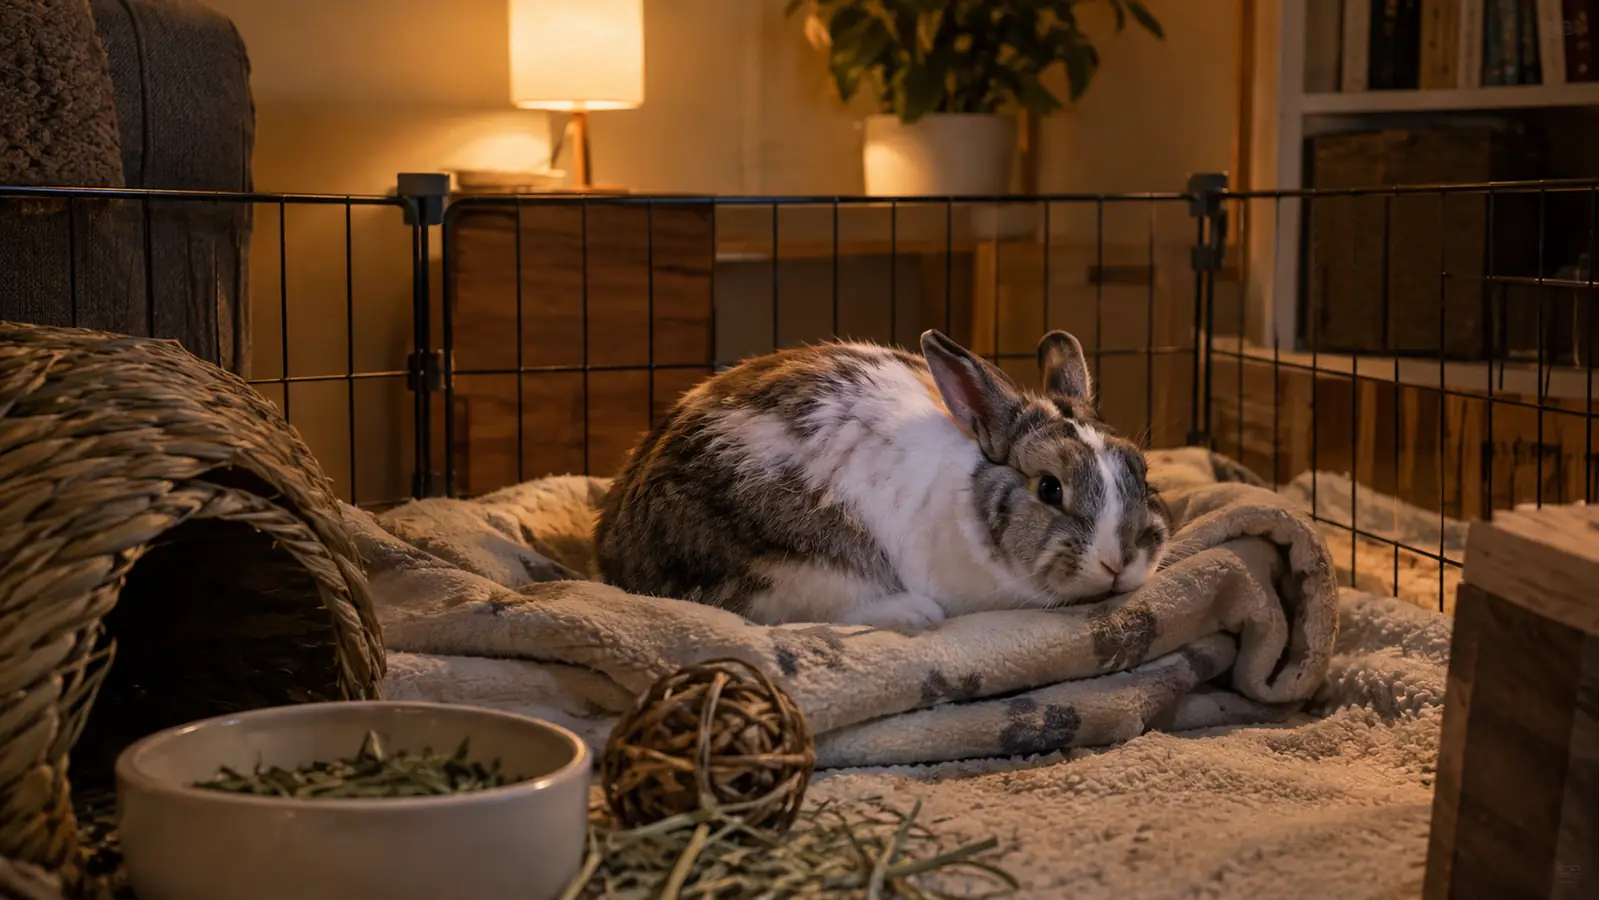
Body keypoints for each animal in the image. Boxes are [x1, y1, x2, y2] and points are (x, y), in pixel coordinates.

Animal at [592, 329, 1171, 629]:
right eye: (1050, 487)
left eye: (1143, 474)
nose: (1118, 561)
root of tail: (617, 555)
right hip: (790, 561)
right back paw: (915, 613)